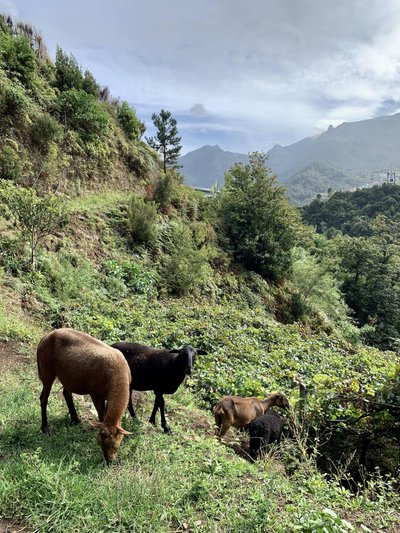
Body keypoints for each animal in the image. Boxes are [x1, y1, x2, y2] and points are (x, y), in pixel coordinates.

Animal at [37, 326, 131, 464]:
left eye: (115, 445)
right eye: (99, 443)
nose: (109, 461)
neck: (117, 377)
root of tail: (45, 337)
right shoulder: (95, 393)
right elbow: (102, 416)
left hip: (68, 374)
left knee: (66, 393)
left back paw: (75, 419)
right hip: (47, 371)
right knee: (44, 398)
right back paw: (45, 428)